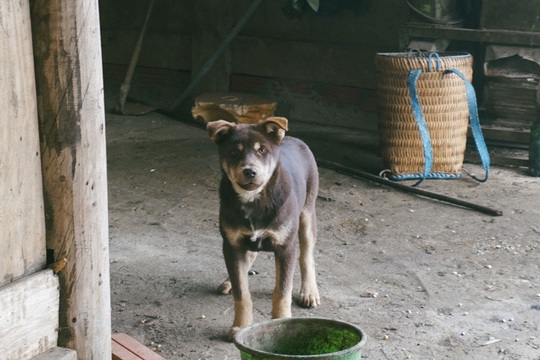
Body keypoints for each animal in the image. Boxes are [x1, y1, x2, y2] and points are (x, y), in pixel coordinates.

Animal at [207, 116, 320, 338]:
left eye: (262, 150)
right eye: (234, 152)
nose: (250, 171)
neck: (254, 200)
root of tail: (295, 139)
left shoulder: (286, 247)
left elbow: (282, 291)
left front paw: (282, 320)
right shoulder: (231, 244)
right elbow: (242, 292)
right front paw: (240, 326)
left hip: (307, 214)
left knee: (306, 256)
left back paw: (309, 292)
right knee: (248, 258)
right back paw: (229, 281)